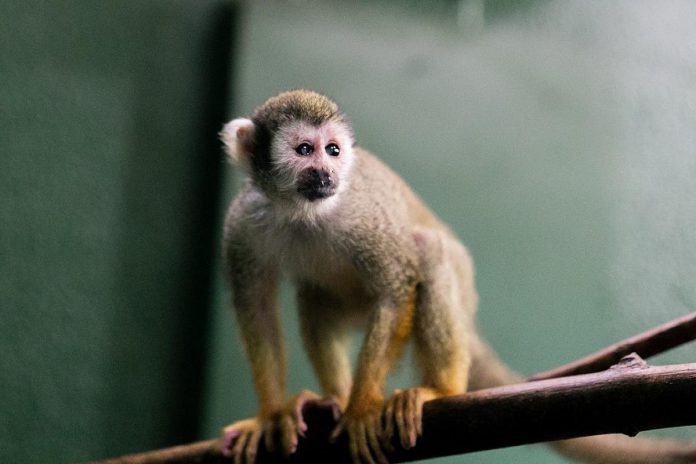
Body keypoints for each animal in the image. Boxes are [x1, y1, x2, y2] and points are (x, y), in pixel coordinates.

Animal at [220, 90, 696, 464]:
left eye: (332, 151)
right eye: (304, 150)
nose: (326, 174)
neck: (303, 212)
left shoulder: (364, 219)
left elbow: (397, 289)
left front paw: (362, 410)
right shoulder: (243, 223)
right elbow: (255, 307)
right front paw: (271, 415)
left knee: (428, 252)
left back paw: (438, 390)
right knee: (315, 297)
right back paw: (333, 398)